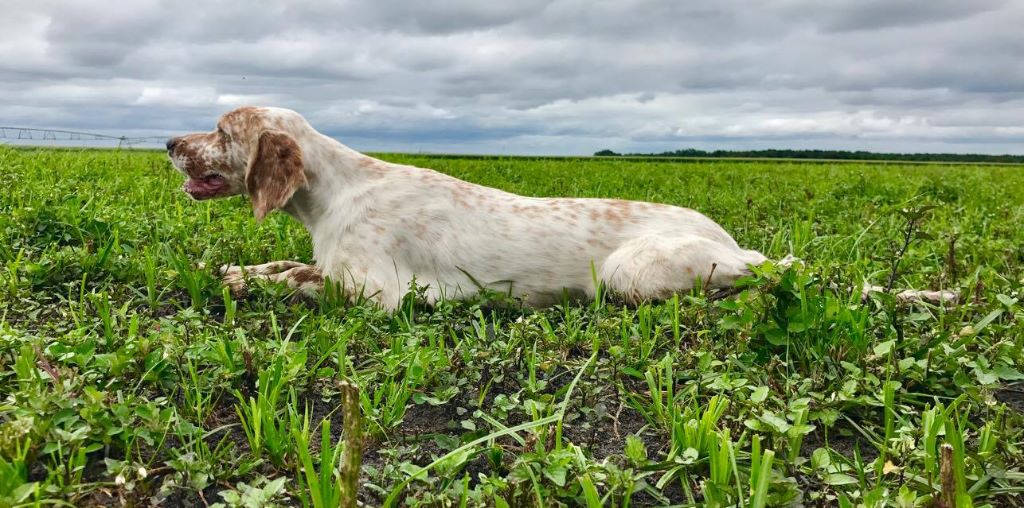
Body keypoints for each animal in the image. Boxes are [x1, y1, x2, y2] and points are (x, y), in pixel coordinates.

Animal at [163, 107, 954, 309]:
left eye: (222, 133)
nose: (169, 142)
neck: (332, 193)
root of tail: (730, 240)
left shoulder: (375, 293)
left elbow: (297, 280)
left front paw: (243, 280)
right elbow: (276, 265)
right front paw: (235, 271)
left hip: (634, 276)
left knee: (769, 277)